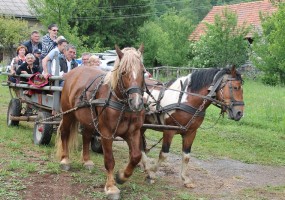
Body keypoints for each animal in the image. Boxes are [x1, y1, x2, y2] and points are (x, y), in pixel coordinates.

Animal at [55, 44, 145, 199]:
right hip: (68, 114)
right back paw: (65, 160)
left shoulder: (133, 133)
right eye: (123, 72)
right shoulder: (106, 134)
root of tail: (72, 73)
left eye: (143, 72)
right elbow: (109, 160)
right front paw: (111, 187)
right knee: (65, 133)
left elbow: (136, 156)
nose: (137, 102)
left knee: (86, 136)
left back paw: (86, 161)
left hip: (88, 120)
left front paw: (121, 176)